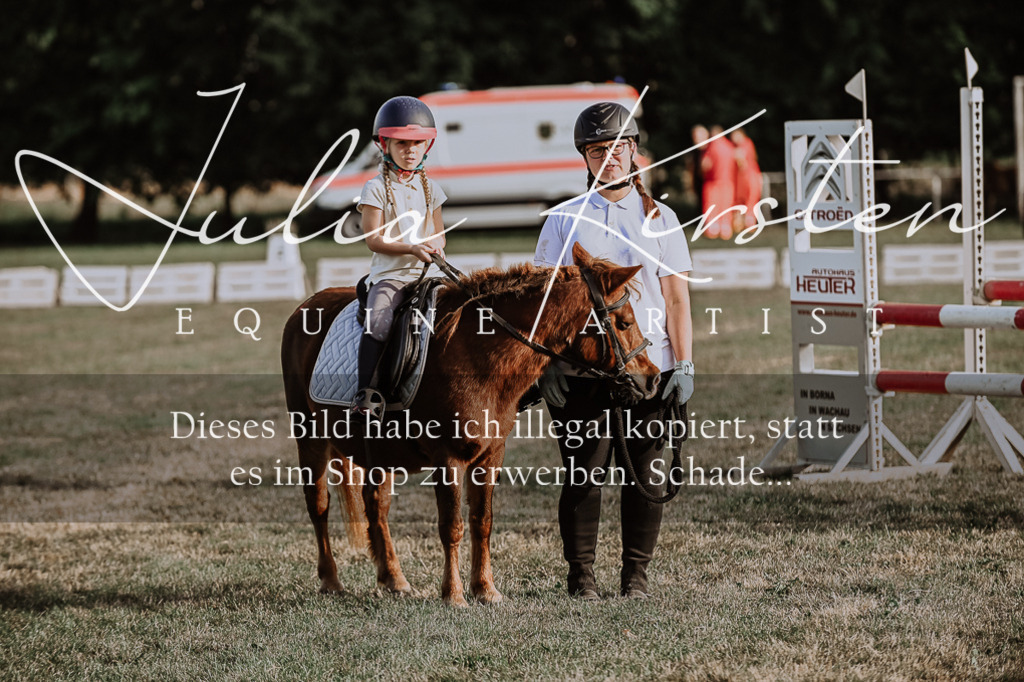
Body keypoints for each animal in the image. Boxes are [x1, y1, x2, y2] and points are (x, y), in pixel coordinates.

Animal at [280, 243, 661, 606]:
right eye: (624, 322)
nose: (652, 378)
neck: (476, 352)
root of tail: (305, 306)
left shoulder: (491, 455)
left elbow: (482, 522)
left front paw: (486, 590)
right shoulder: (448, 459)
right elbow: (452, 526)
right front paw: (454, 595)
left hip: (378, 452)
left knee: (376, 505)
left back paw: (394, 580)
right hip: (310, 439)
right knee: (319, 506)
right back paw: (331, 581)